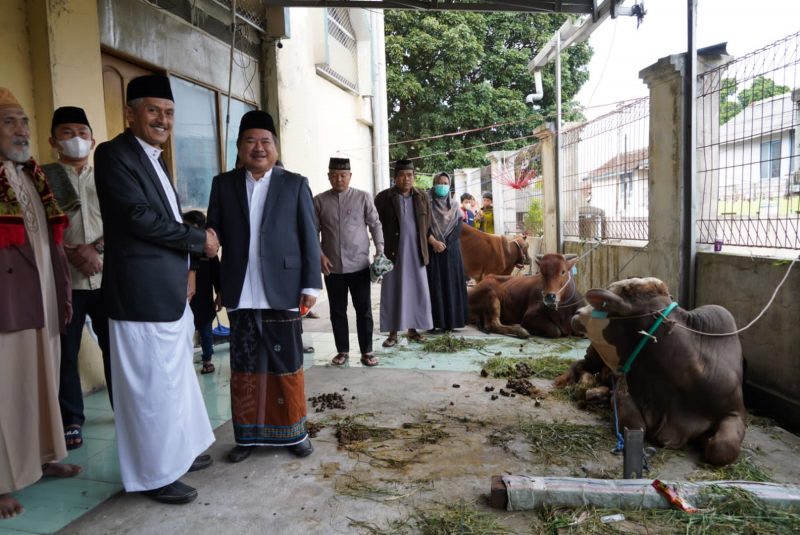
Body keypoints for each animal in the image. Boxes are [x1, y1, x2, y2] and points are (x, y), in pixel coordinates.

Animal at [560, 278, 748, 466]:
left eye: (605, 301)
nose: (577, 312)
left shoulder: (735, 410)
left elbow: (723, 448)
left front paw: (706, 439)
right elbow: (636, 424)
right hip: (593, 356)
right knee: (580, 366)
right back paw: (586, 387)